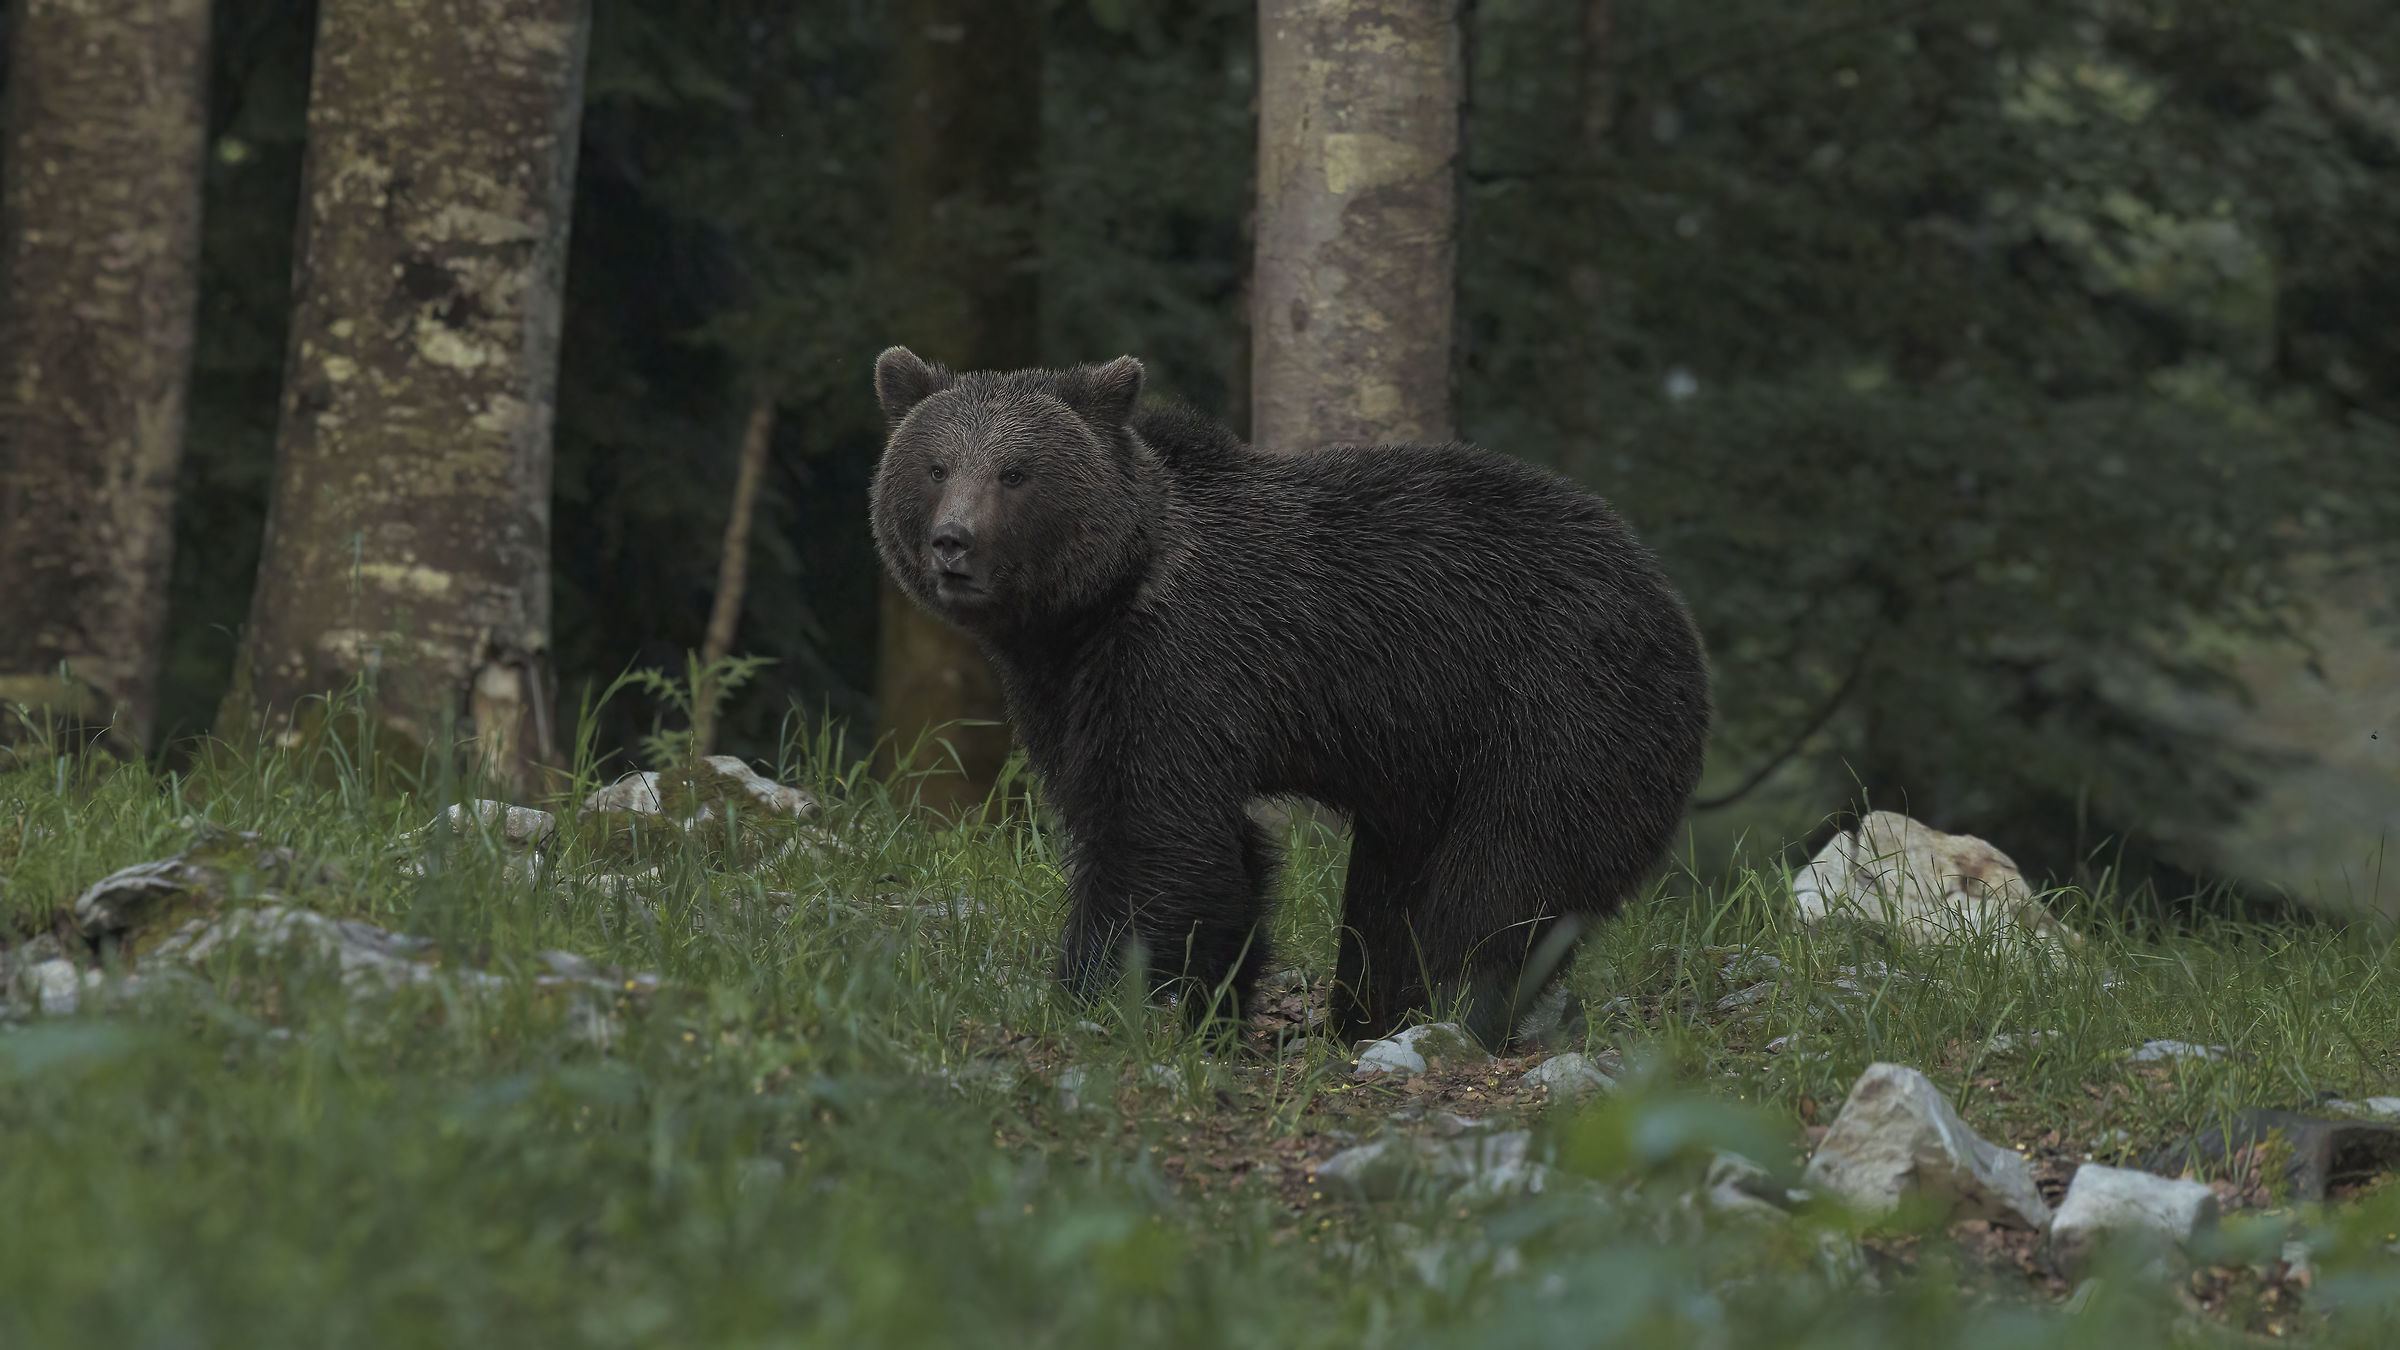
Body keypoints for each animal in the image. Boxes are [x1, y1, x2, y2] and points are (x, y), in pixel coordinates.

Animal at [868, 346, 1711, 1049]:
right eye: (936, 466)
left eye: (1015, 472)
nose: (953, 543)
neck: (1096, 604)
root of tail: (1670, 601)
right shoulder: (1062, 689)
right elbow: (1202, 849)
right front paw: (1213, 1010)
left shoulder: (1180, 661)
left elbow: (1153, 840)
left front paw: (1091, 991)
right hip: (1429, 771)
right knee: (1392, 895)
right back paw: (1370, 1015)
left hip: (1559, 708)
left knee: (1502, 879)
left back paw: (1452, 1013)